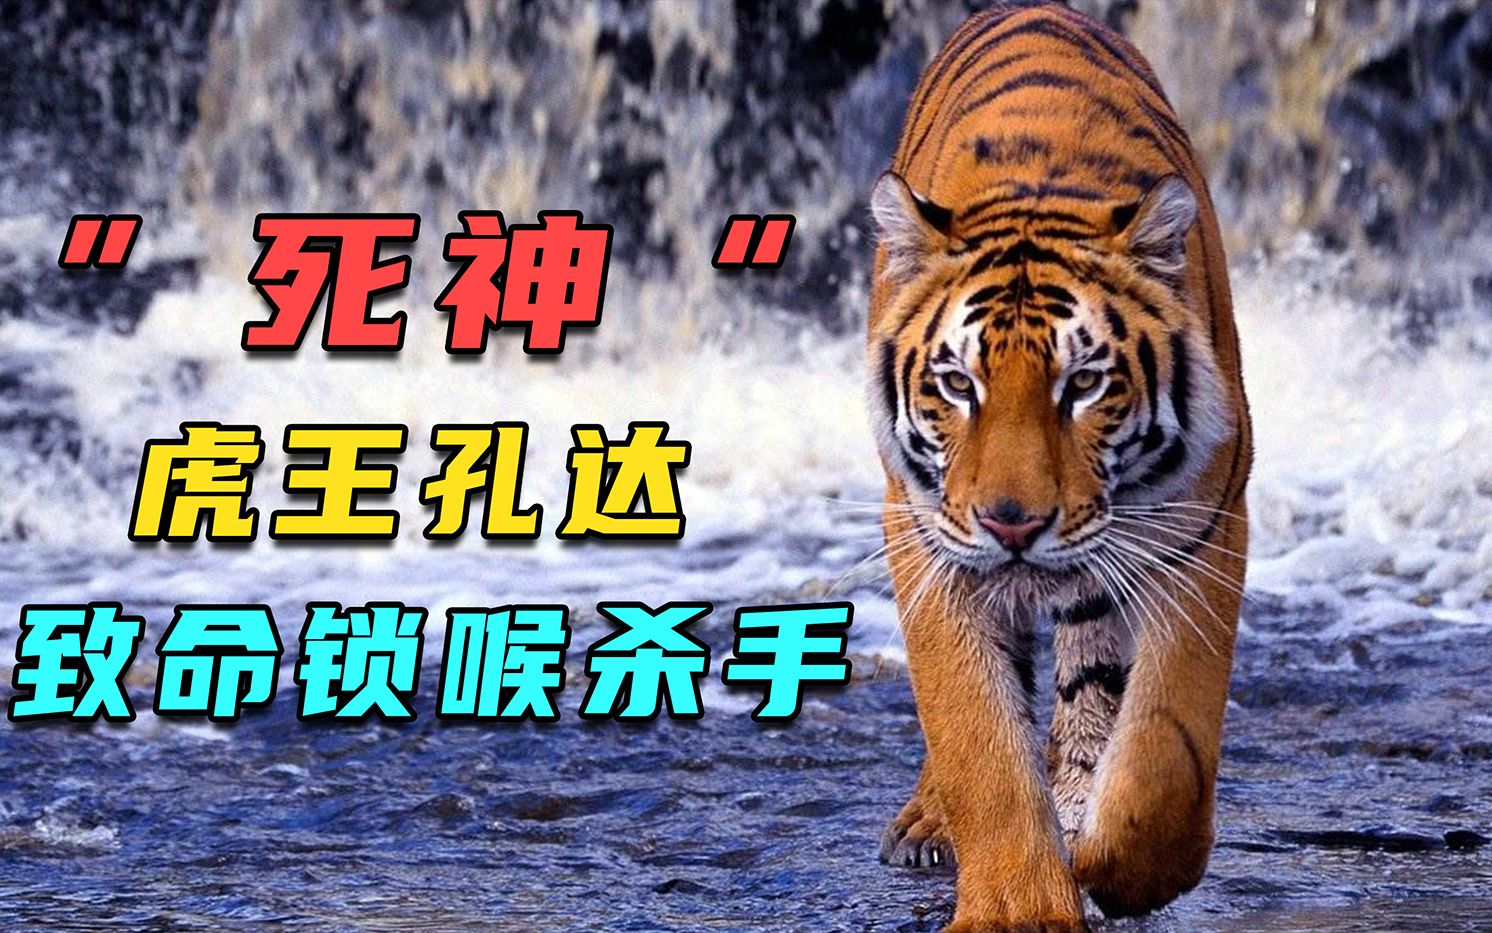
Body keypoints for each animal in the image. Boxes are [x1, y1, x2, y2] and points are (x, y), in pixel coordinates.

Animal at [864, 2, 1252, 930]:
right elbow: (976, 735)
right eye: (957, 384)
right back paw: (931, 820)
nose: (1013, 523)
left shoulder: (1203, 528)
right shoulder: (927, 538)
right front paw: (1017, 908)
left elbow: (1167, 743)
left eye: (1083, 384)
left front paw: (1123, 867)